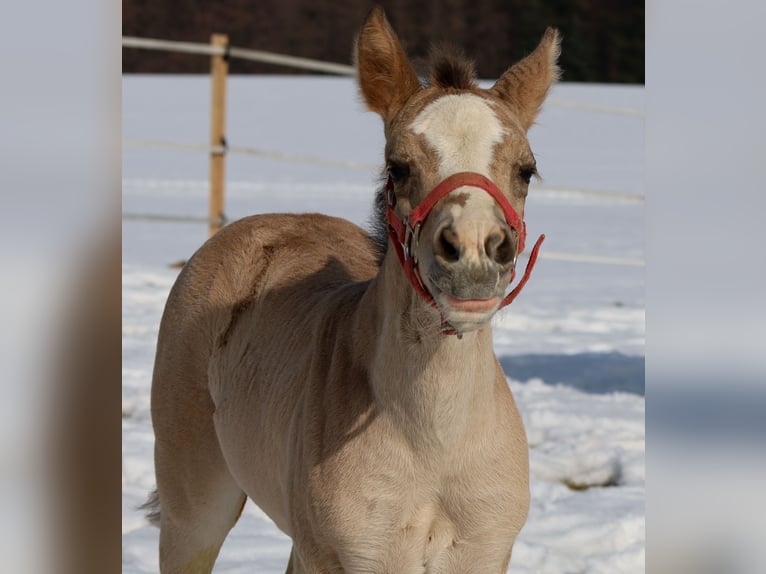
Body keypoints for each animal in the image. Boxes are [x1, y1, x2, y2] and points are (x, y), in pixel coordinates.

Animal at [143, 7, 560, 573]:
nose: (475, 254)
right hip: (195, 509)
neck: (435, 445)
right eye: (398, 168)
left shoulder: (483, 553)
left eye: (526, 170)